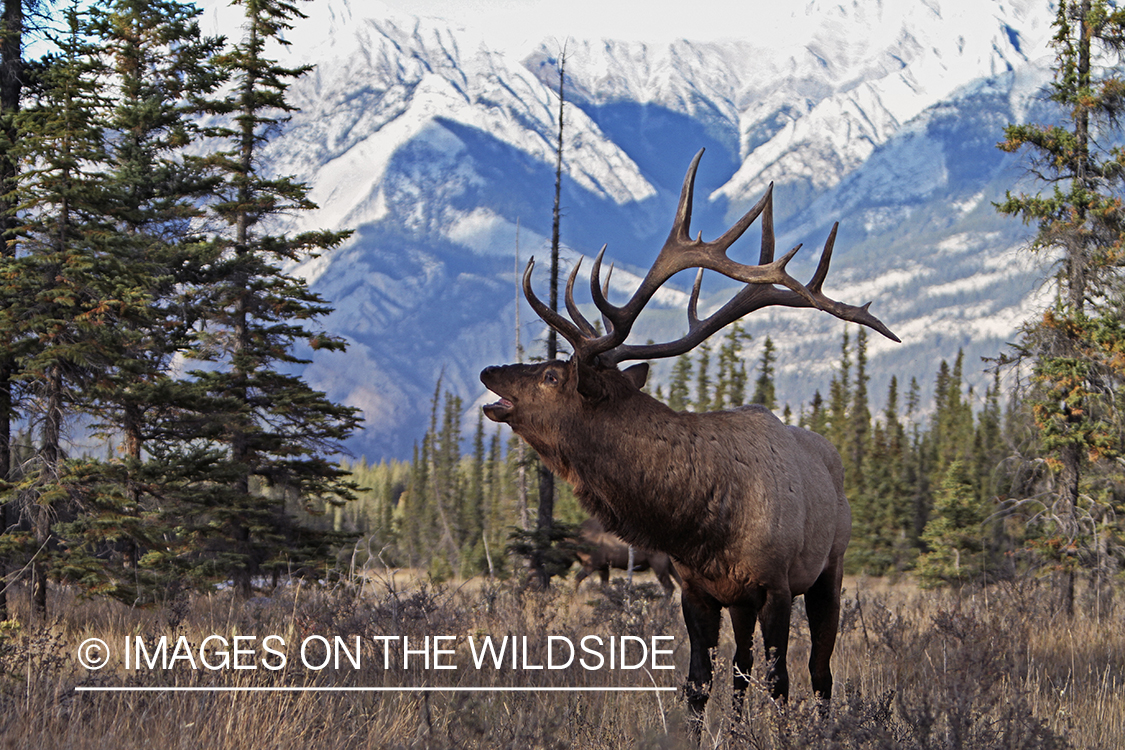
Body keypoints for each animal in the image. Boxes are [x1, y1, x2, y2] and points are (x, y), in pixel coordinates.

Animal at [479, 149, 900, 737]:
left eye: (549, 375)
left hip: (828, 570)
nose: (489, 371)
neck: (697, 523)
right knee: (742, 667)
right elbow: (700, 684)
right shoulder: (697, 589)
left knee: (819, 669)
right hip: (742, 603)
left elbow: (780, 684)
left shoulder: (775, 586)